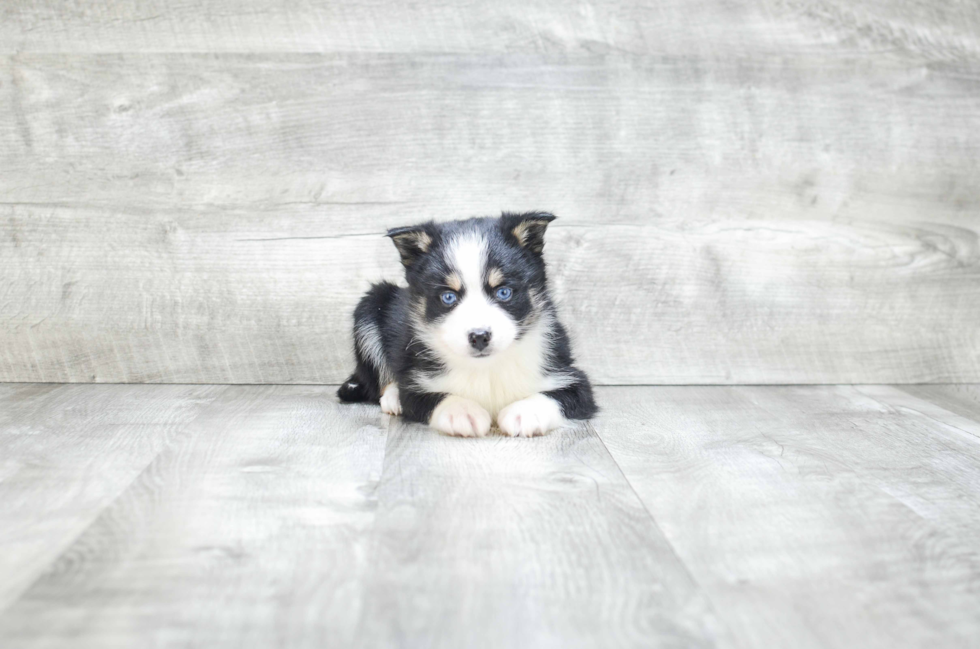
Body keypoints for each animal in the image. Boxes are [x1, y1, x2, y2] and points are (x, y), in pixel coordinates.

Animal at [336, 213, 596, 436]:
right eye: (448, 297)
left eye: (503, 292)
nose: (479, 336)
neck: (486, 368)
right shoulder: (415, 383)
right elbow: (431, 397)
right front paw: (462, 412)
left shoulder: (570, 375)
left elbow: (558, 395)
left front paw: (524, 412)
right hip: (370, 305)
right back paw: (392, 397)